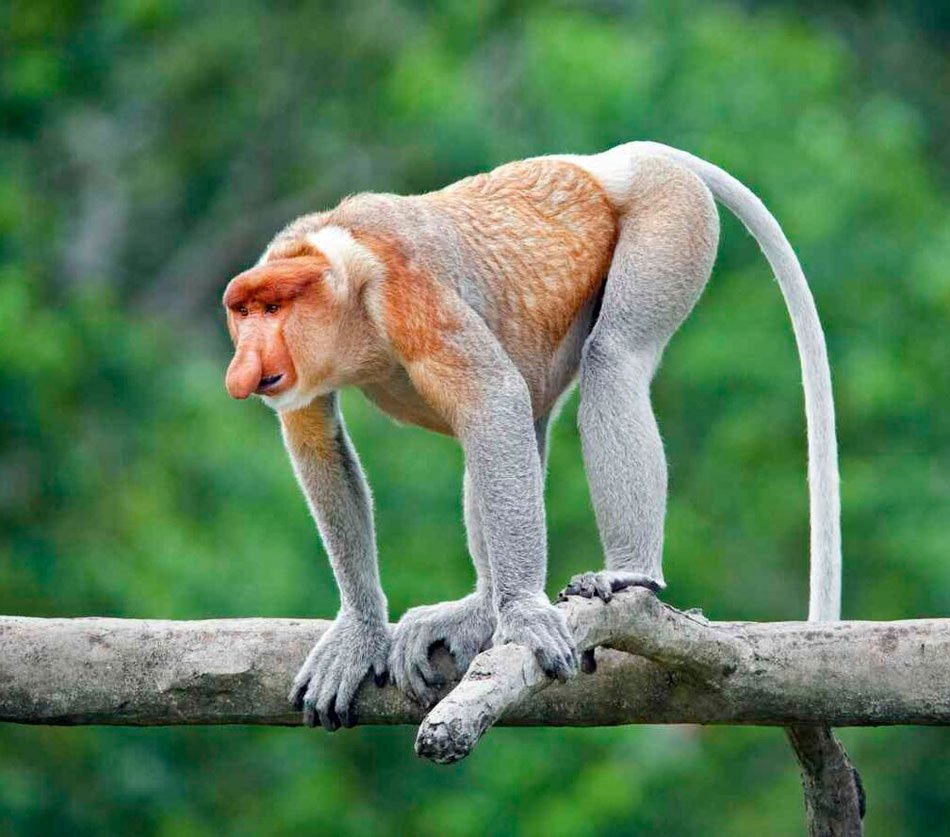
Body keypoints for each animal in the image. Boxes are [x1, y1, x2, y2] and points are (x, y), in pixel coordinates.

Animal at [222, 141, 841, 731]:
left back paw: (628, 576)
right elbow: (317, 444)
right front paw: (358, 634)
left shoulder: (410, 292)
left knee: (611, 357)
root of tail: (609, 162)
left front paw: (521, 613)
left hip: (669, 215)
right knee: (525, 418)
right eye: (243, 311)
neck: (345, 279)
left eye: (273, 307)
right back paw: (477, 611)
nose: (244, 366)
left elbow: (493, 401)